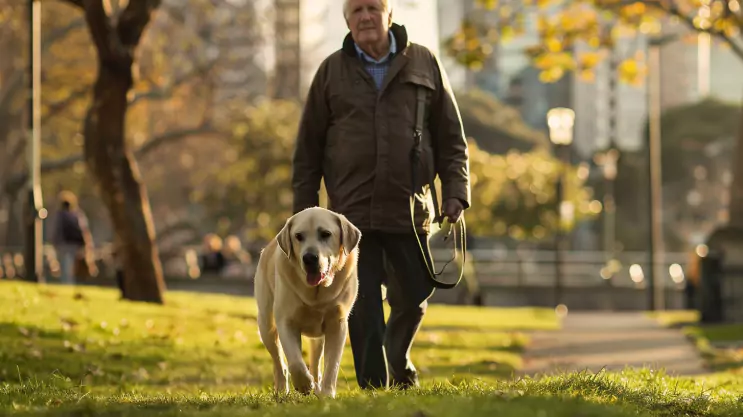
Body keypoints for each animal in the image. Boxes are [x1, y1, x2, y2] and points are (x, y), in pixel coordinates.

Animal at [254, 206, 362, 398]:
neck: (316, 294)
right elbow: (295, 361)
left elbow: (332, 364)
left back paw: (317, 387)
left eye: (326, 234)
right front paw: (304, 384)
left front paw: (326, 393)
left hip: (317, 337)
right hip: (266, 325)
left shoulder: (337, 323)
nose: (309, 257)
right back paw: (282, 389)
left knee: (316, 362)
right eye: (298, 236)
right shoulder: (286, 321)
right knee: (279, 362)